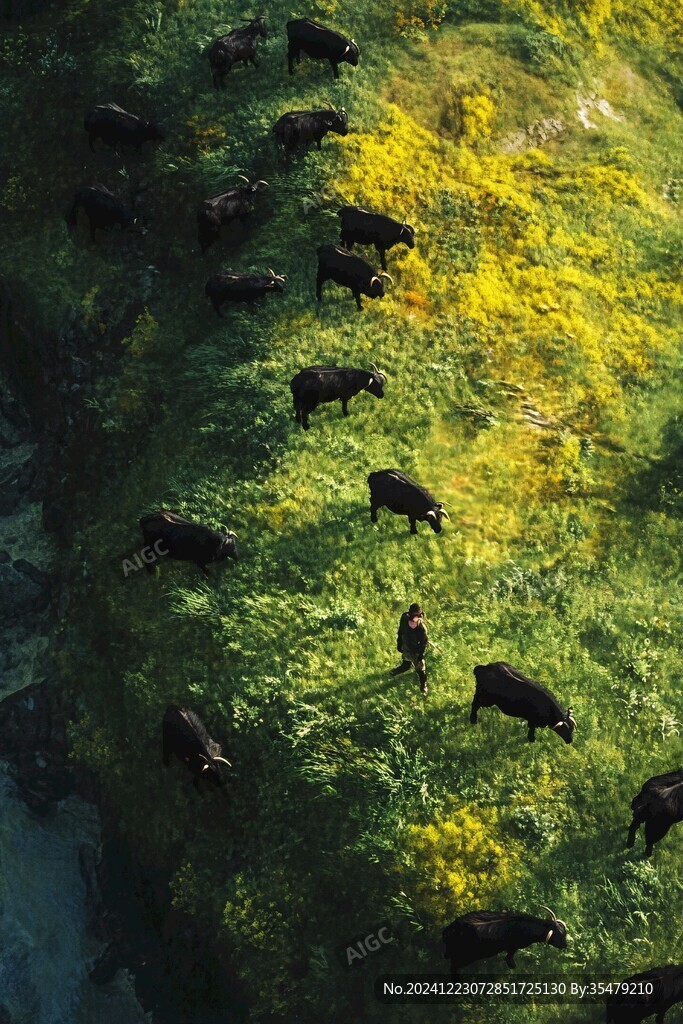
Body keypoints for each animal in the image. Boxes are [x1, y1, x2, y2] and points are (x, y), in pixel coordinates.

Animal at [440, 909, 569, 970]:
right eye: (559, 933)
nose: (565, 945)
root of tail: (449, 930)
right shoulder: (513, 946)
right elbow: (509, 956)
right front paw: (512, 966)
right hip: (465, 956)